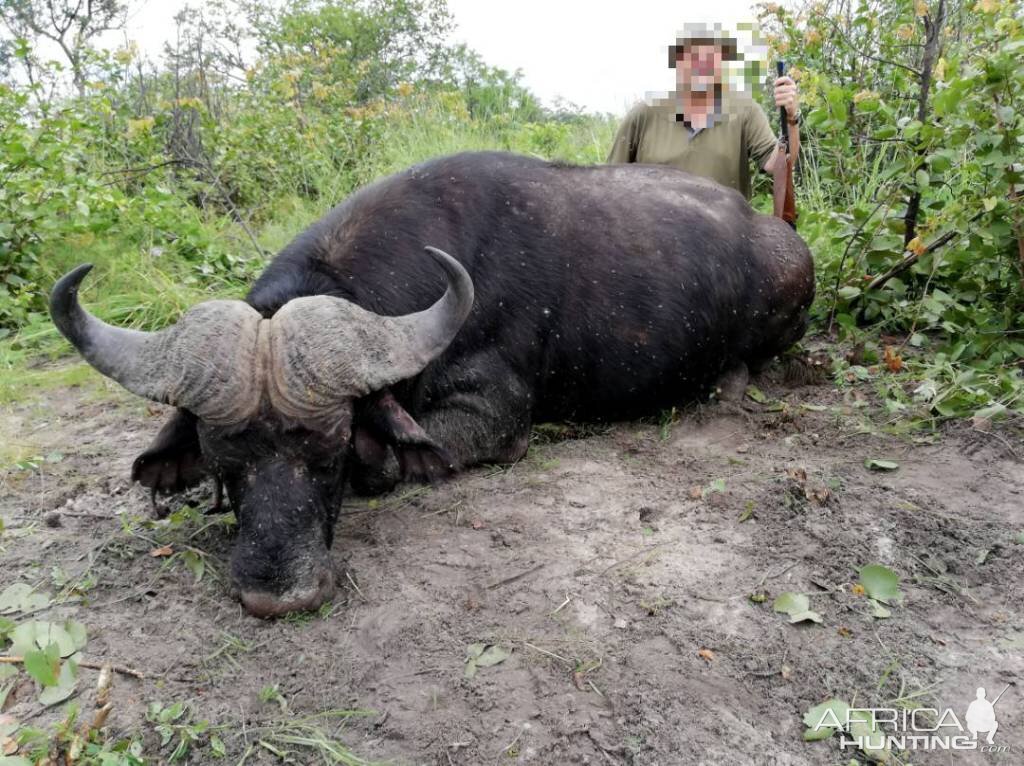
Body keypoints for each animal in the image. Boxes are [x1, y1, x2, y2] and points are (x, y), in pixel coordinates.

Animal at [51, 149, 815, 614]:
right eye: (221, 459)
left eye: (329, 453)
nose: (277, 594)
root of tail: (778, 236)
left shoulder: (489, 421)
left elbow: (387, 464)